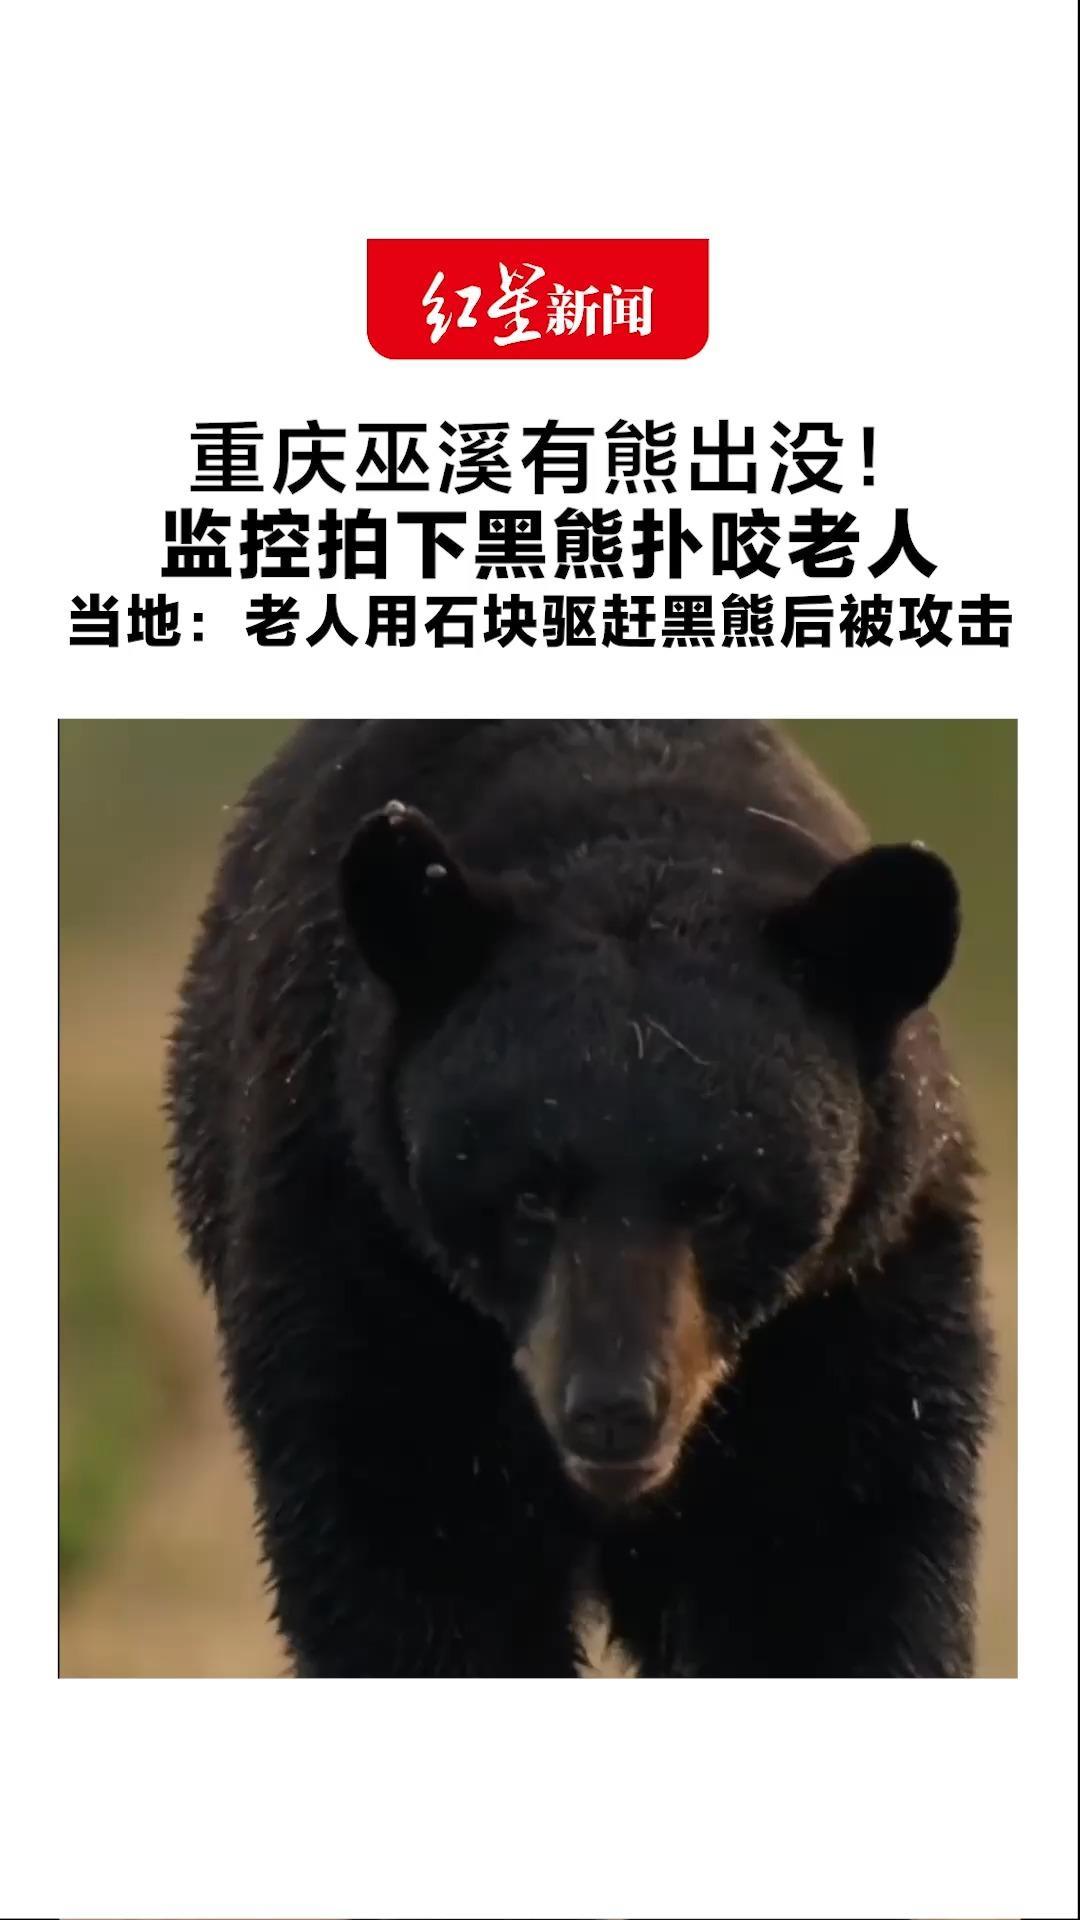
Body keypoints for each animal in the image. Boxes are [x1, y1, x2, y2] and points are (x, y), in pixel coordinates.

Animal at [167, 719, 994, 1677]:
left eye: (722, 1199)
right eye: (529, 1195)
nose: (612, 1411)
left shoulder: (855, 1294)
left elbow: (828, 1565)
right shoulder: (358, 1238)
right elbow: (406, 1552)